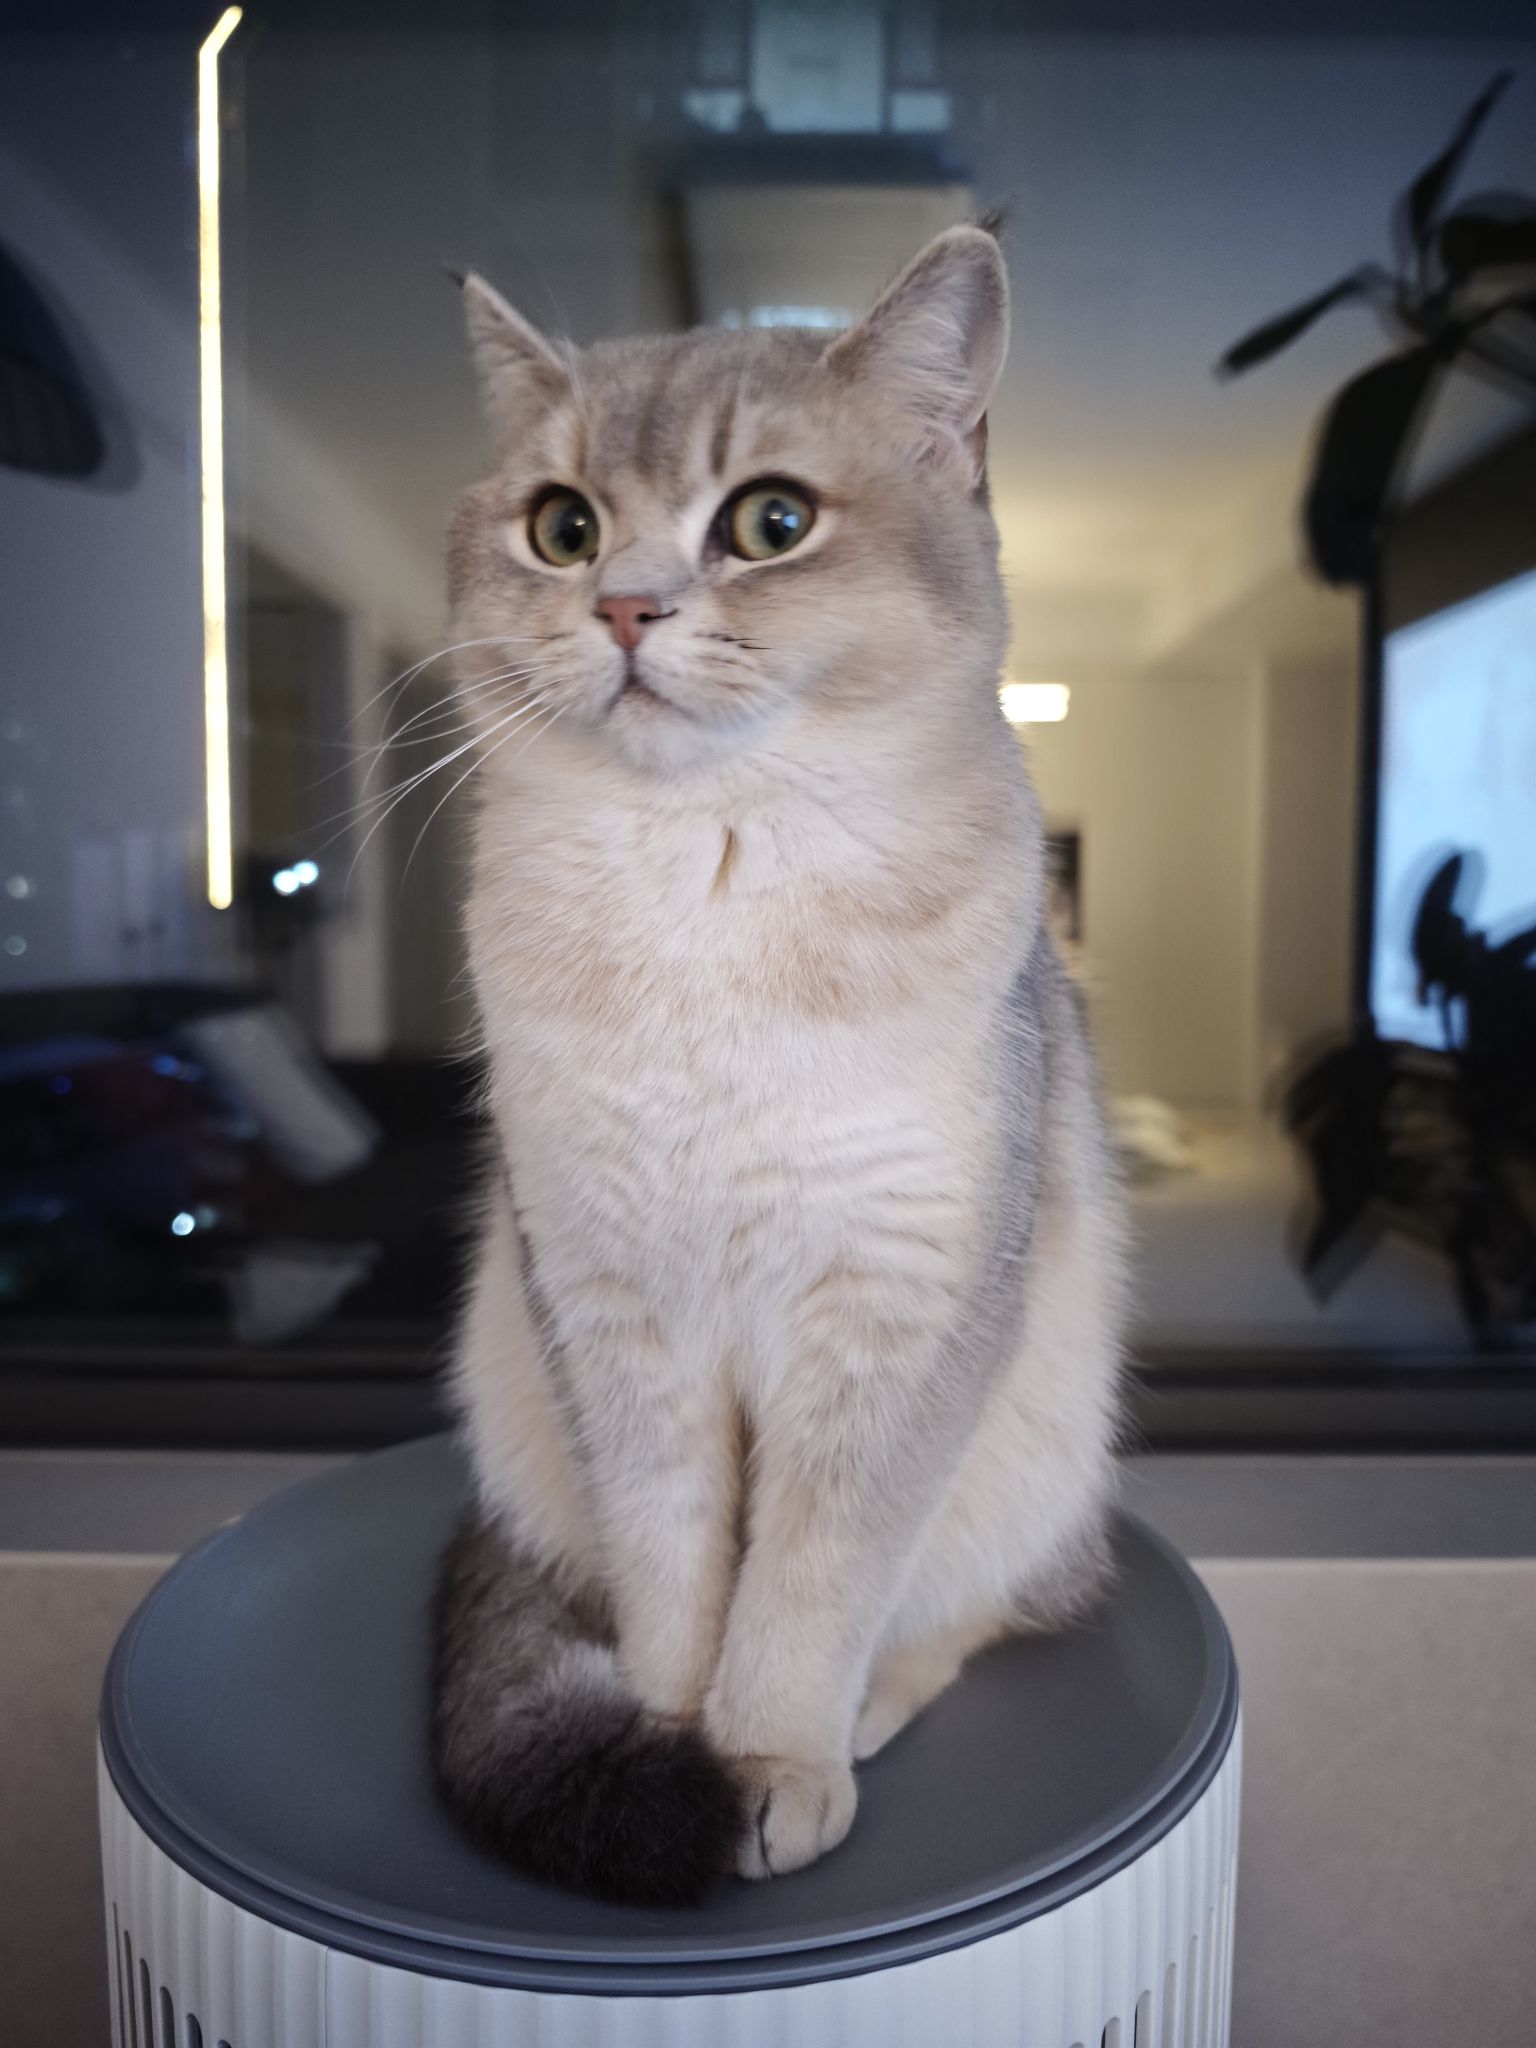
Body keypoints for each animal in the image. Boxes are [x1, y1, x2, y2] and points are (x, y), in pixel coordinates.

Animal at [431, 224, 1126, 1907]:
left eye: (771, 523)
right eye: (563, 527)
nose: (624, 608)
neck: (706, 889)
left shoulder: (895, 1307)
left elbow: (812, 1579)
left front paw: (769, 1763)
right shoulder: (608, 1302)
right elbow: (675, 1572)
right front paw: (672, 1746)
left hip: (1043, 1440)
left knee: (990, 1603)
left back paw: (863, 1715)